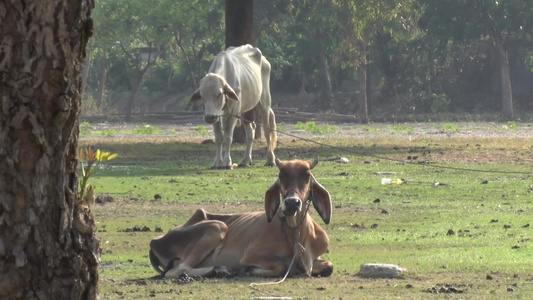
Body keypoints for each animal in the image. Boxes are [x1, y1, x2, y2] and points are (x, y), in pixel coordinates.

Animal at [150, 158, 332, 278]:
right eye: (281, 175)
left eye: (307, 175)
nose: (292, 203)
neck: (296, 238)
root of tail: (155, 241)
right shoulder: (251, 255)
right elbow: (281, 266)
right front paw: (248, 270)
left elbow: (329, 266)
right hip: (217, 226)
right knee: (178, 270)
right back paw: (219, 269)